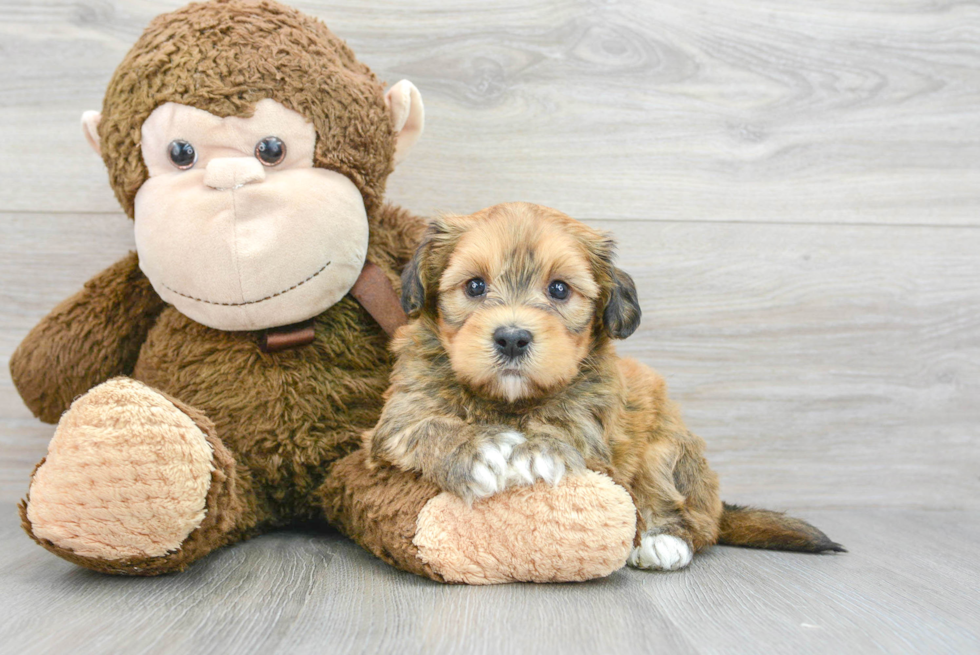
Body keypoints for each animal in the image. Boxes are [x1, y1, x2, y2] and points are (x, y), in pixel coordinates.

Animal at [368, 202, 844, 572]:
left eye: (559, 289)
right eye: (474, 286)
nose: (512, 338)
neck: (508, 401)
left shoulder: (595, 417)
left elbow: (567, 426)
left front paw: (535, 450)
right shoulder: (397, 416)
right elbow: (422, 427)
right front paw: (477, 451)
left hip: (665, 451)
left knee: (689, 516)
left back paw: (662, 542)